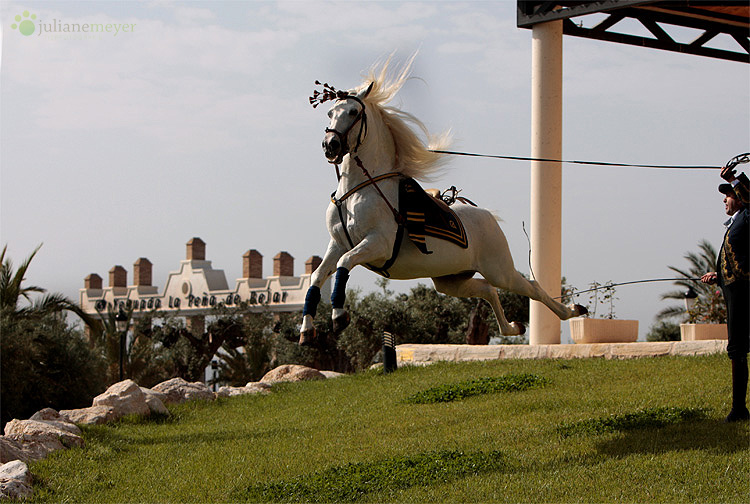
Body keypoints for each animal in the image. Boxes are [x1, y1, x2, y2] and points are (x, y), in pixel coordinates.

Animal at [300, 57, 588, 344]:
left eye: (353, 113)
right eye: (330, 113)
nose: (330, 145)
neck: (357, 191)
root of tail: (488, 216)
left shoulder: (377, 243)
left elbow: (344, 263)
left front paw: (339, 317)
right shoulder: (337, 244)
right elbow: (317, 275)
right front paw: (306, 330)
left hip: (499, 269)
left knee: (531, 287)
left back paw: (572, 310)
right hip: (452, 279)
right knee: (489, 290)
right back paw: (513, 327)